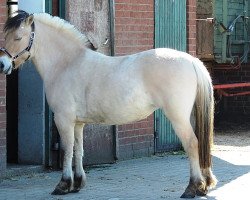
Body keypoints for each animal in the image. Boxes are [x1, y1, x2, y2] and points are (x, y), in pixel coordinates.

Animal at [0, 10, 217, 198]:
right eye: (5, 35)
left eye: (18, 38)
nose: (3, 65)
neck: (67, 64)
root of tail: (191, 61)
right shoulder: (78, 123)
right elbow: (78, 150)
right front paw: (78, 183)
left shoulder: (64, 120)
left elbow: (67, 150)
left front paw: (63, 185)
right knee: (200, 143)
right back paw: (203, 186)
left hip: (178, 117)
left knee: (191, 144)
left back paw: (192, 188)